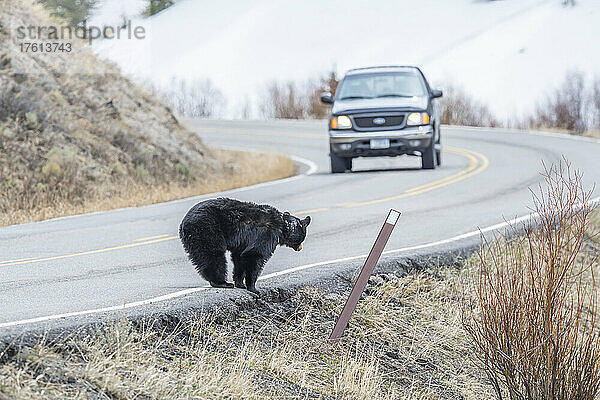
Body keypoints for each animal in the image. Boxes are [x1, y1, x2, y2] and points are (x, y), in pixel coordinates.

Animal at [178, 198, 312, 294]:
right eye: (303, 237)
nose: (300, 248)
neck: (282, 225)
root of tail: (184, 223)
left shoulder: (242, 244)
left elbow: (240, 258)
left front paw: (240, 283)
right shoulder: (265, 234)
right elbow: (255, 255)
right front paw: (253, 288)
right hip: (207, 230)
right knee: (213, 255)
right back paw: (222, 282)